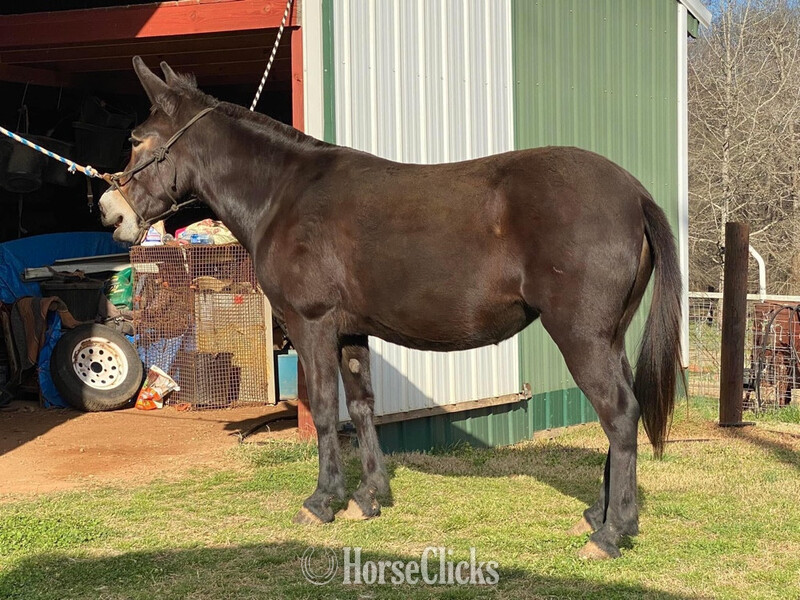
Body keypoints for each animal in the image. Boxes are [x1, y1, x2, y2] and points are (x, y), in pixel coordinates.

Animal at [100, 57, 682, 560]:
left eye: (137, 140)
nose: (110, 211)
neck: (284, 194)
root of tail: (632, 194)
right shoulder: (351, 332)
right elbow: (362, 406)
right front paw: (370, 497)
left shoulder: (312, 325)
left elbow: (326, 410)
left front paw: (323, 501)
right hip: (608, 336)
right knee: (621, 412)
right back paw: (602, 514)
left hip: (580, 336)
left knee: (619, 413)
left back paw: (611, 532)